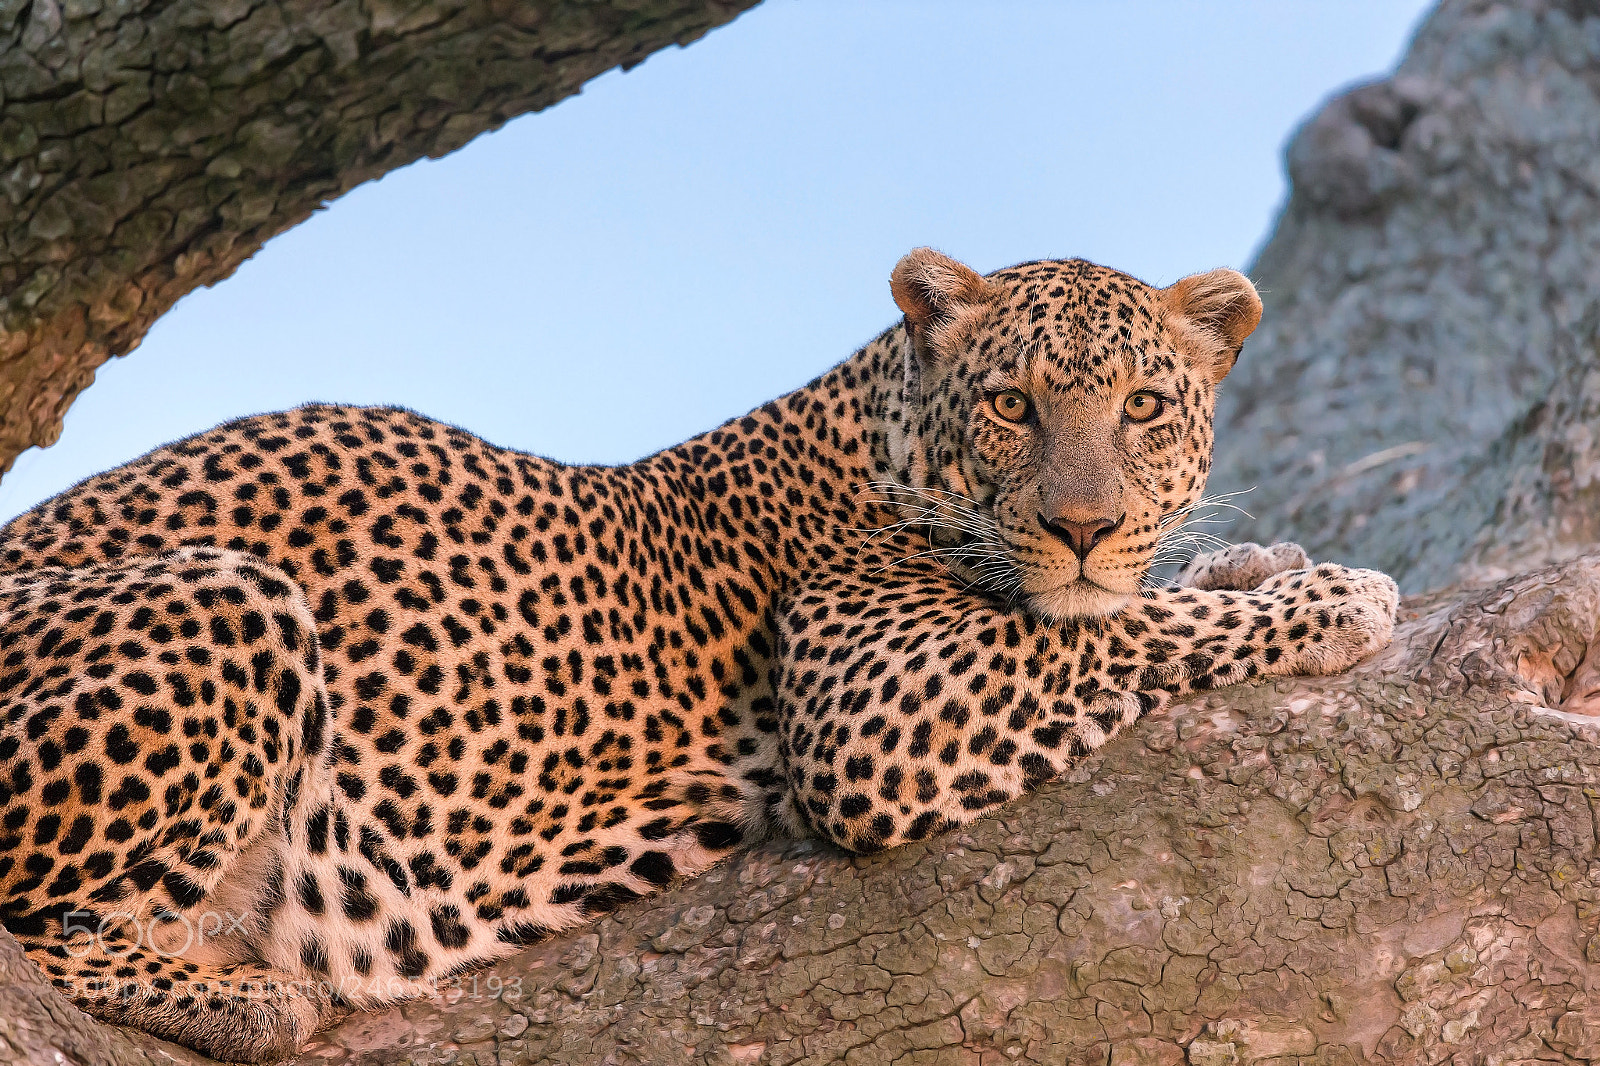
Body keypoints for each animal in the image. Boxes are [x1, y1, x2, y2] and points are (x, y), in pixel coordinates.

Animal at [0, 248, 1398, 1062]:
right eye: (1013, 405)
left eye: (1143, 407)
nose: (1085, 526)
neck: (883, 429)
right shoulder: (873, 702)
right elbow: (1126, 632)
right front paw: (1333, 593)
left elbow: (1134, 605)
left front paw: (1251, 557)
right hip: (230, 598)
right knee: (43, 926)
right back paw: (241, 994)